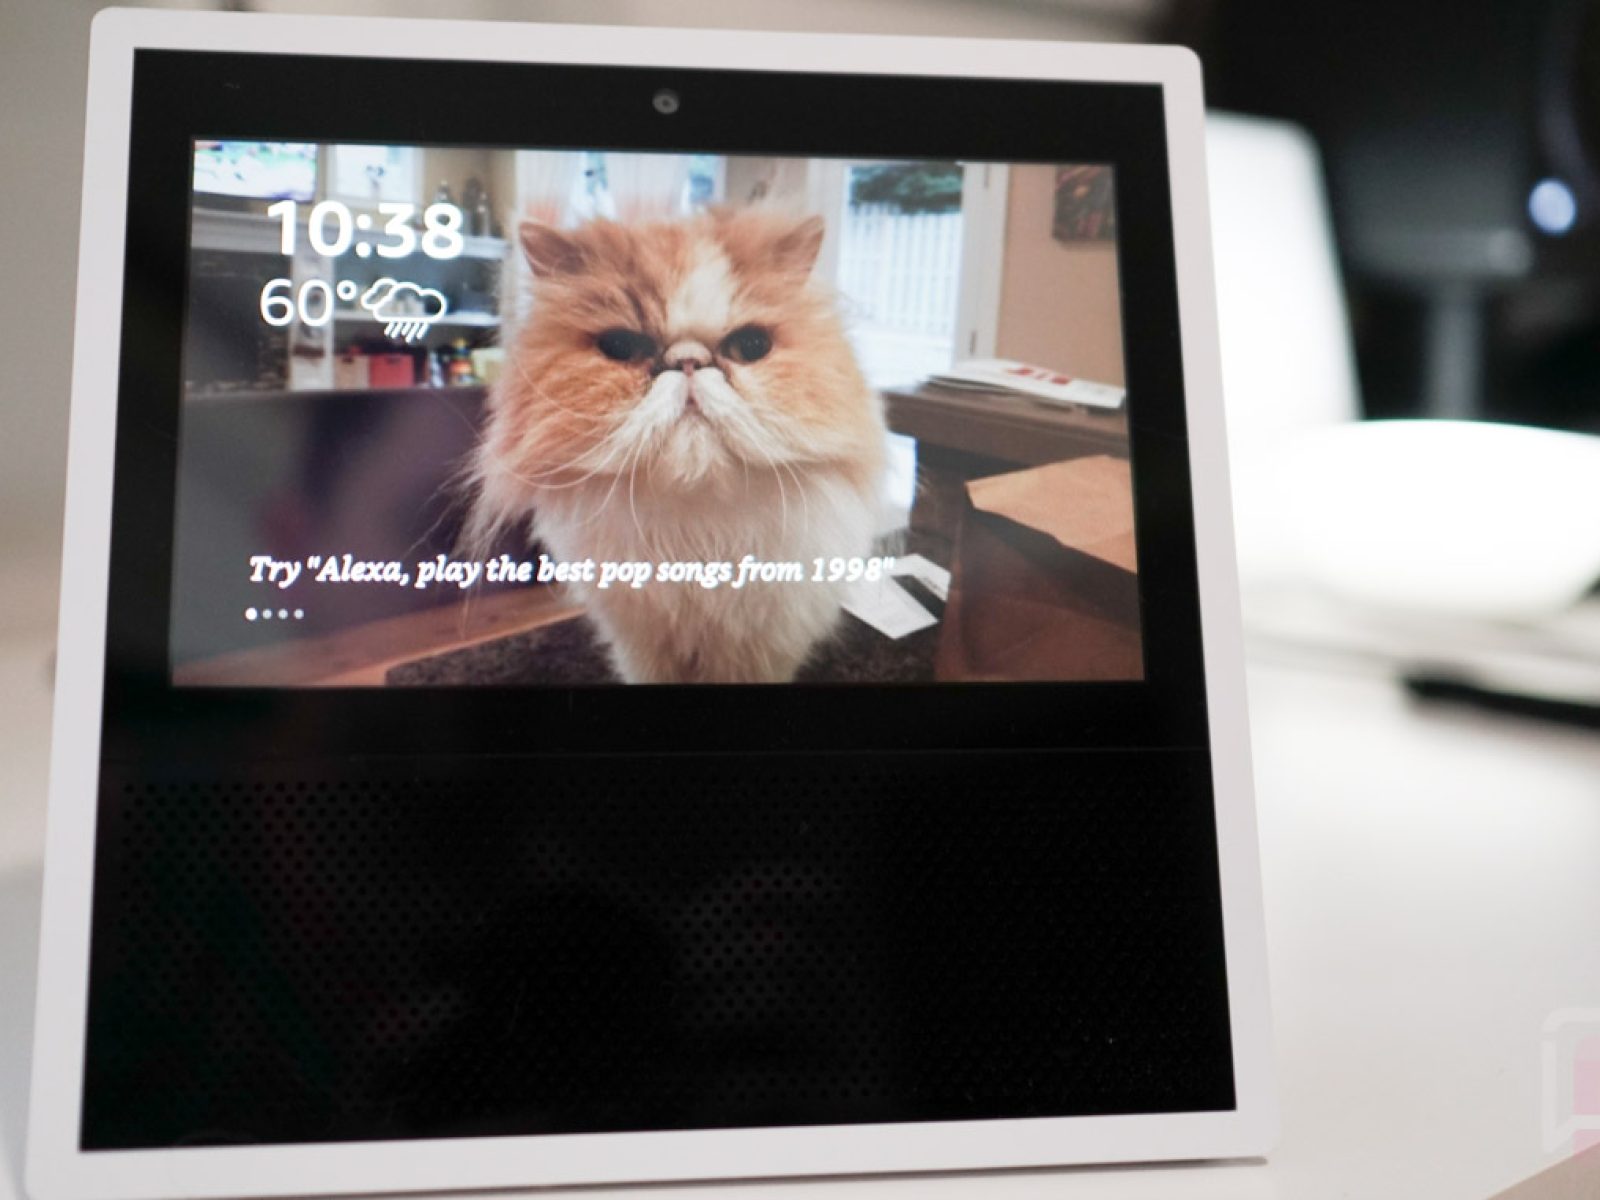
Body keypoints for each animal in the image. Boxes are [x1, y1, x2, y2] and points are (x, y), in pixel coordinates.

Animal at [465, 208, 887, 684]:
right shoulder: (641, 647)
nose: (688, 362)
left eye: (752, 346)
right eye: (621, 346)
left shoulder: (764, 649)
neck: (698, 538)